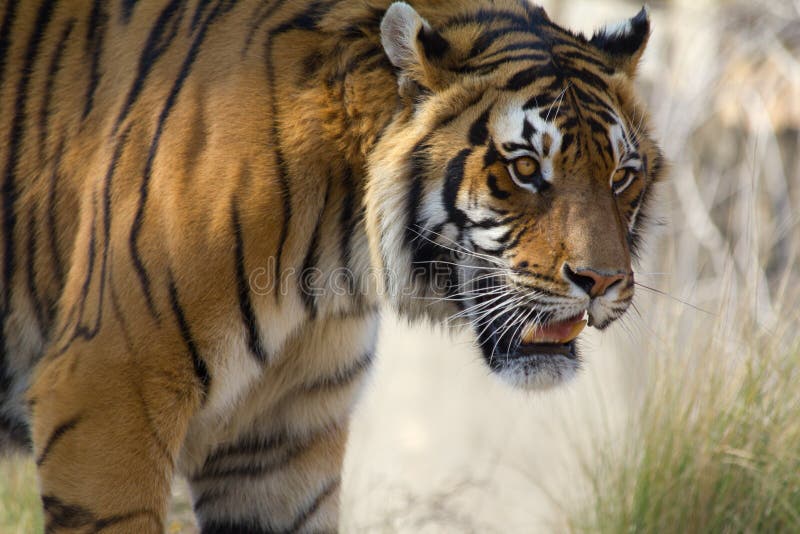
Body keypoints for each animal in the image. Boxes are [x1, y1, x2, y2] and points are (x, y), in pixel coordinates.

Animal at [0, 0, 663, 531]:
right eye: (525, 169)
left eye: (621, 176)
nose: (602, 282)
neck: (336, 261)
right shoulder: (107, 392)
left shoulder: (280, 437)